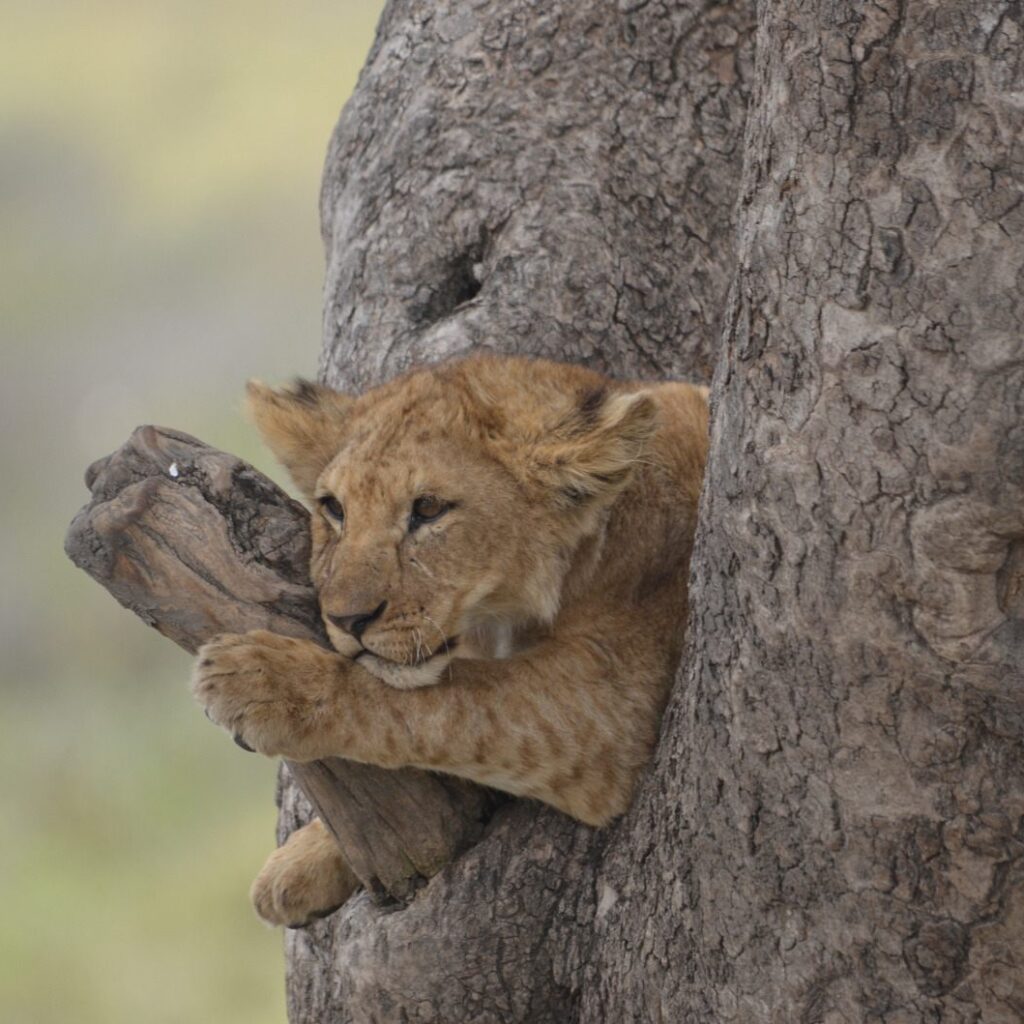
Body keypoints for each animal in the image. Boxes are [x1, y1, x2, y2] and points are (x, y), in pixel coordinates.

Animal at [192, 354, 708, 926]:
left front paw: (265, 682)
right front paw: (302, 860)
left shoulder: (612, 710)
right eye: (334, 508)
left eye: (430, 509)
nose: (348, 620)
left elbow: (445, 705)